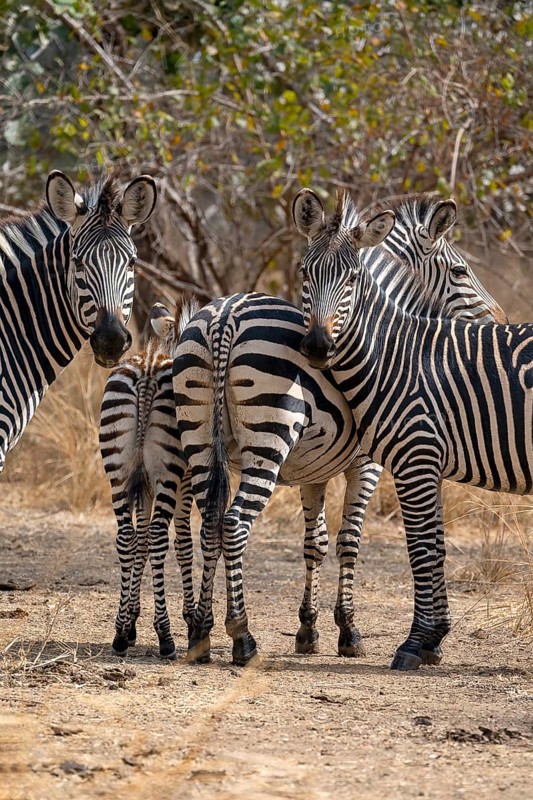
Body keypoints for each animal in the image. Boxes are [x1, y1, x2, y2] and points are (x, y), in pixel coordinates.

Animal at [99, 298, 198, 659]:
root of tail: (147, 371)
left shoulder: (143, 487)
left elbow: (139, 542)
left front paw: (129, 621)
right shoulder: (185, 484)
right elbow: (183, 544)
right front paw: (190, 619)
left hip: (118, 468)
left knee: (126, 536)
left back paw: (119, 635)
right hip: (168, 473)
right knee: (156, 536)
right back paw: (166, 636)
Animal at [173, 193, 506, 666]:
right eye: (461, 271)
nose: (501, 318)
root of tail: (226, 317)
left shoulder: (311, 471)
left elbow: (315, 542)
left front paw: (307, 630)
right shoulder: (366, 464)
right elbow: (350, 540)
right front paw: (349, 631)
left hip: (198, 436)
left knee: (211, 523)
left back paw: (200, 633)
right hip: (268, 439)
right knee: (234, 523)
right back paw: (243, 637)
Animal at [294, 187, 532, 670]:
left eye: (353, 279)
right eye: (305, 273)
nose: (317, 346)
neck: (398, 353)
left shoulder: (401, 461)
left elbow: (407, 547)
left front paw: (413, 641)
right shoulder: (409, 463)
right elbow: (425, 547)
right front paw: (427, 639)